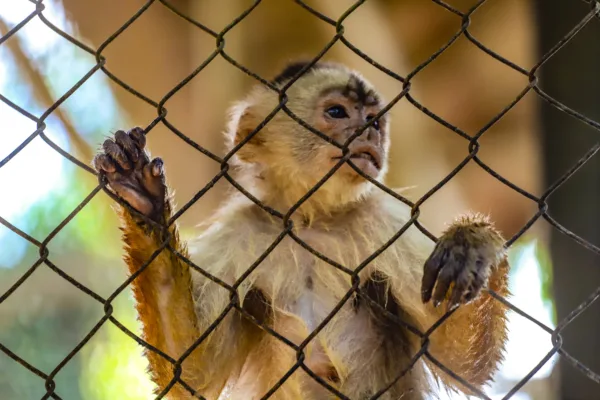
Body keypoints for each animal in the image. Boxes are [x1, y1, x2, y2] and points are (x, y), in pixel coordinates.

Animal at [91, 61, 508, 398]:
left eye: (375, 120)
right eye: (337, 112)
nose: (369, 132)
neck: (309, 220)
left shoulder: (379, 221)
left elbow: (463, 364)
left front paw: (474, 242)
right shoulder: (242, 230)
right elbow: (191, 372)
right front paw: (145, 202)